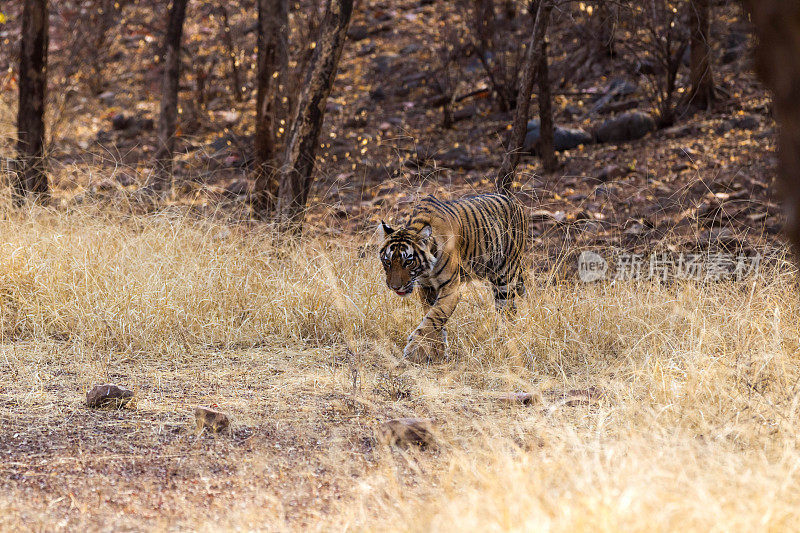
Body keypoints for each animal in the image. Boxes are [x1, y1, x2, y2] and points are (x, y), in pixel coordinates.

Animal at [378, 191, 528, 362]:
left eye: (408, 262)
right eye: (387, 261)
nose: (394, 287)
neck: (426, 270)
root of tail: (514, 202)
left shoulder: (451, 288)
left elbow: (435, 316)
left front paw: (415, 348)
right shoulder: (426, 287)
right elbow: (433, 317)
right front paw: (438, 351)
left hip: (504, 275)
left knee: (508, 310)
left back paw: (506, 339)